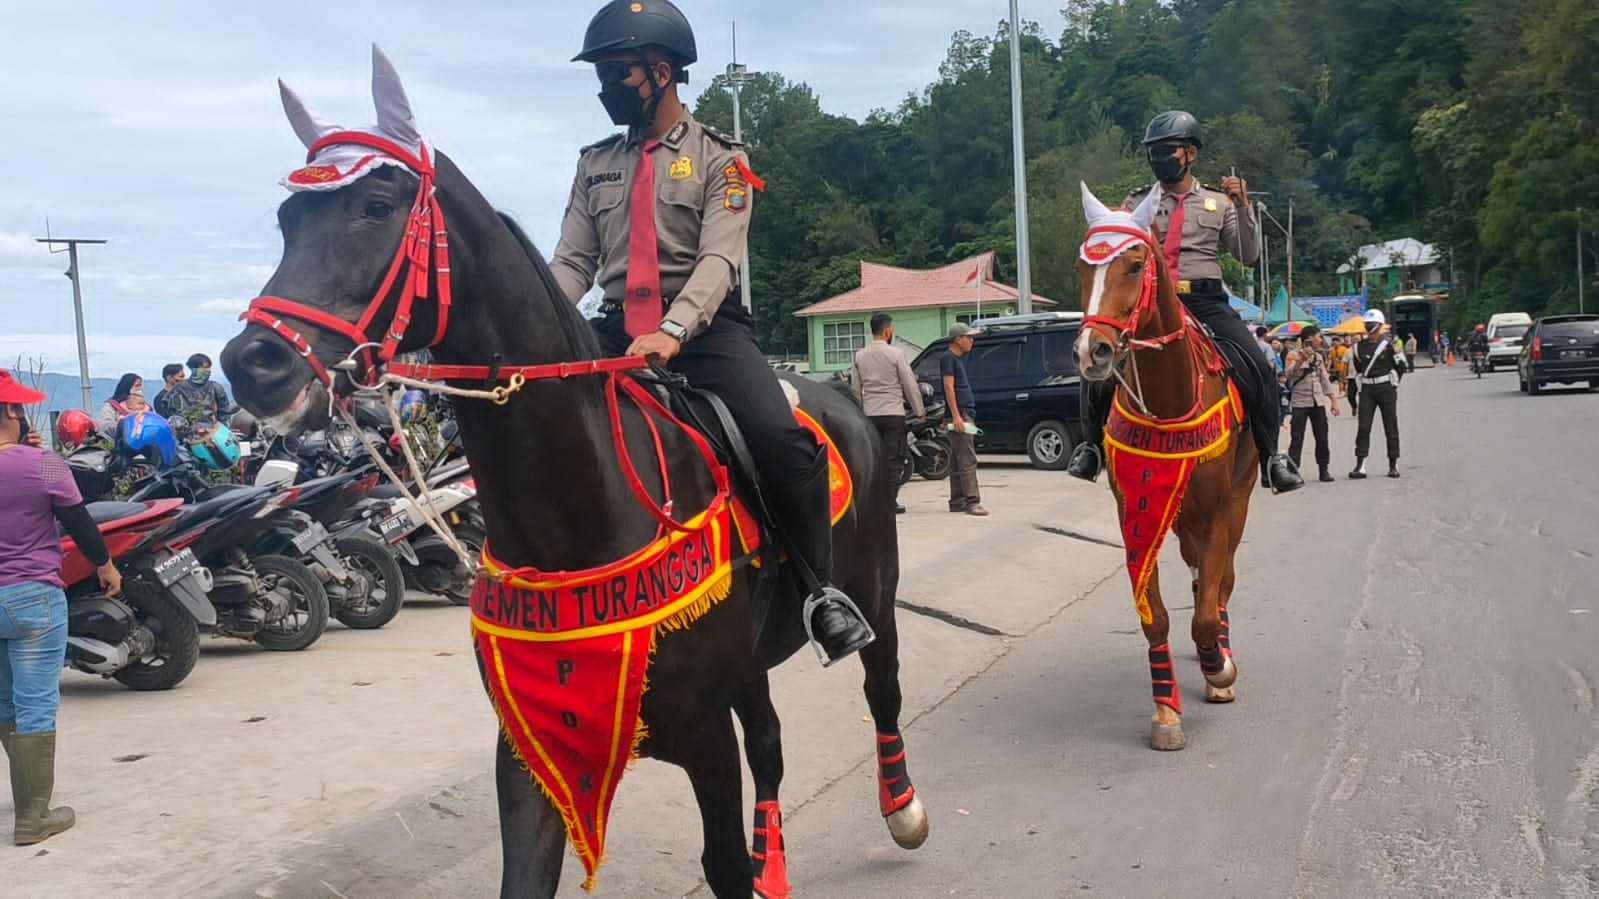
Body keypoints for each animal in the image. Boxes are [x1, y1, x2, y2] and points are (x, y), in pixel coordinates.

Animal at [1074, 183, 1260, 748]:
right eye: (1082, 269)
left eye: (1135, 265)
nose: (1092, 352)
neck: (1169, 398)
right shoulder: (1136, 510)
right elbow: (1156, 617)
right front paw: (1165, 711)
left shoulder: (1220, 510)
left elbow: (1206, 613)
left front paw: (1219, 667)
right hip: (1181, 517)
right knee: (1200, 573)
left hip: (1240, 497)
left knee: (1223, 583)